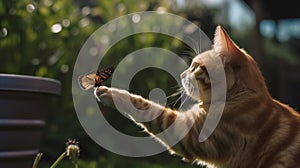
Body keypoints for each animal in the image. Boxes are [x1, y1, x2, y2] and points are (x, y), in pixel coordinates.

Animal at [96, 25, 300, 167]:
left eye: (194, 67)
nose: (181, 75)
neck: (239, 98)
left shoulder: (186, 134)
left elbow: (145, 107)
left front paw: (108, 93)